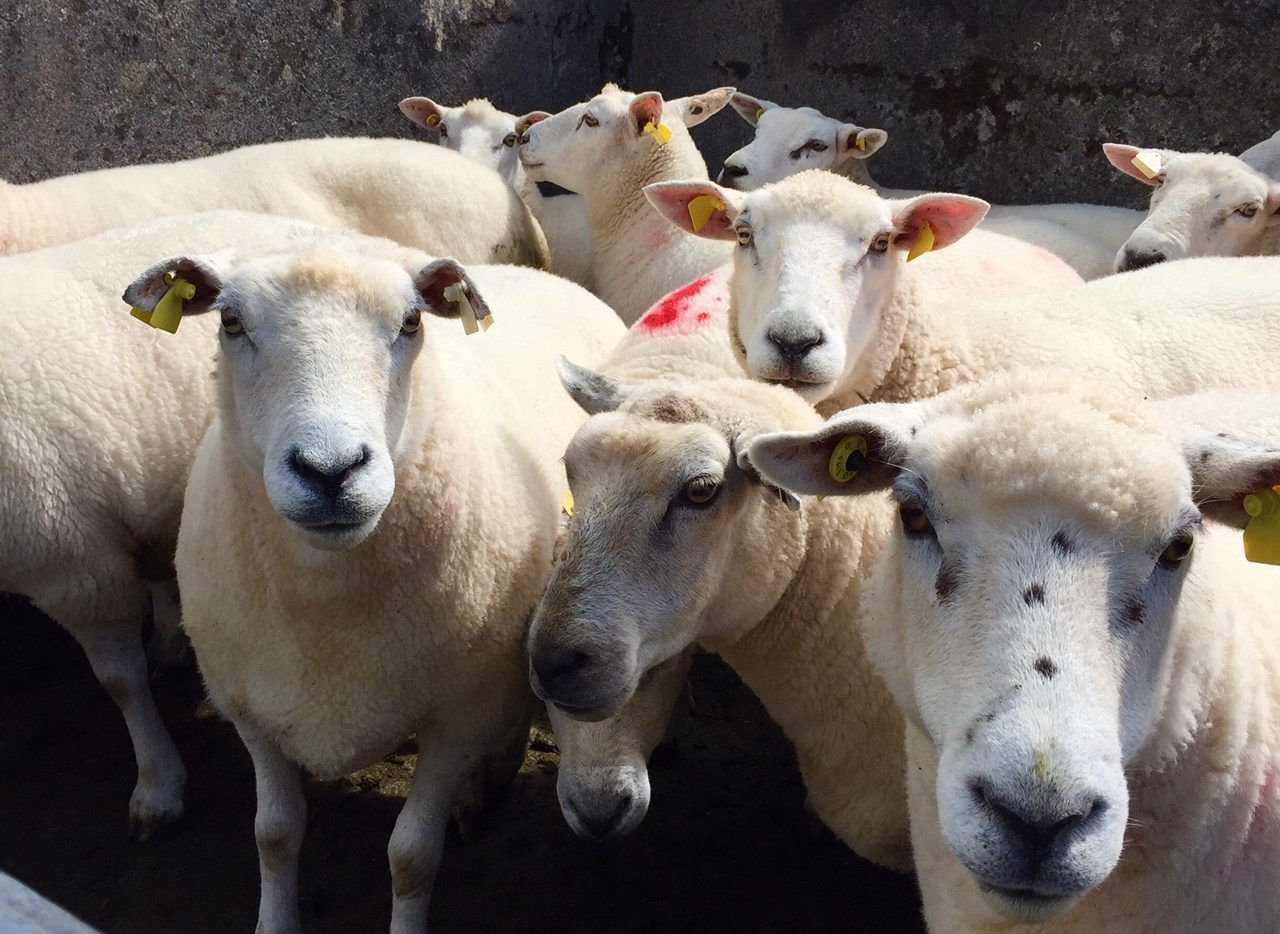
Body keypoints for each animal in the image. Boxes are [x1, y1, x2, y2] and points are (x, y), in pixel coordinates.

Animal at [131, 230, 623, 932]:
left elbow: (412, 855)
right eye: (230, 323)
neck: (326, 602)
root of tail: (543, 275)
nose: (330, 471)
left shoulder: (455, 715)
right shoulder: (249, 706)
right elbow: (274, 835)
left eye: (412, 322)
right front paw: (275, 919)